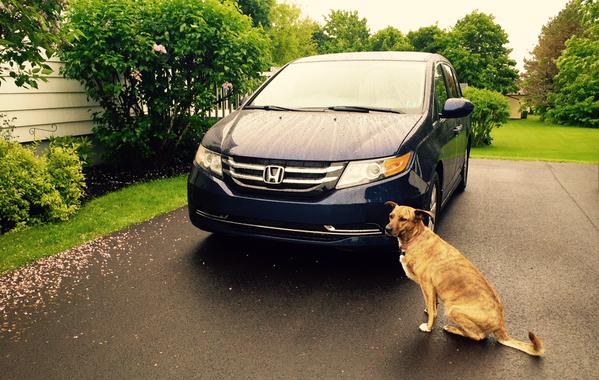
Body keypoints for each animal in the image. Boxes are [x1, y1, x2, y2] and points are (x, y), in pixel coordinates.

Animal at [386, 202, 548, 356]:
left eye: (403, 219)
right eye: (391, 216)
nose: (387, 229)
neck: (416, 237)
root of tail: (501, 325)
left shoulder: (427, 285)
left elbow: (433, 312)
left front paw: (429, 326)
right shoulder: (432, 290)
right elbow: (432, 304)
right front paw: (428, 309)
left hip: (453, 310)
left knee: (479, 336)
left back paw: (452, 328)